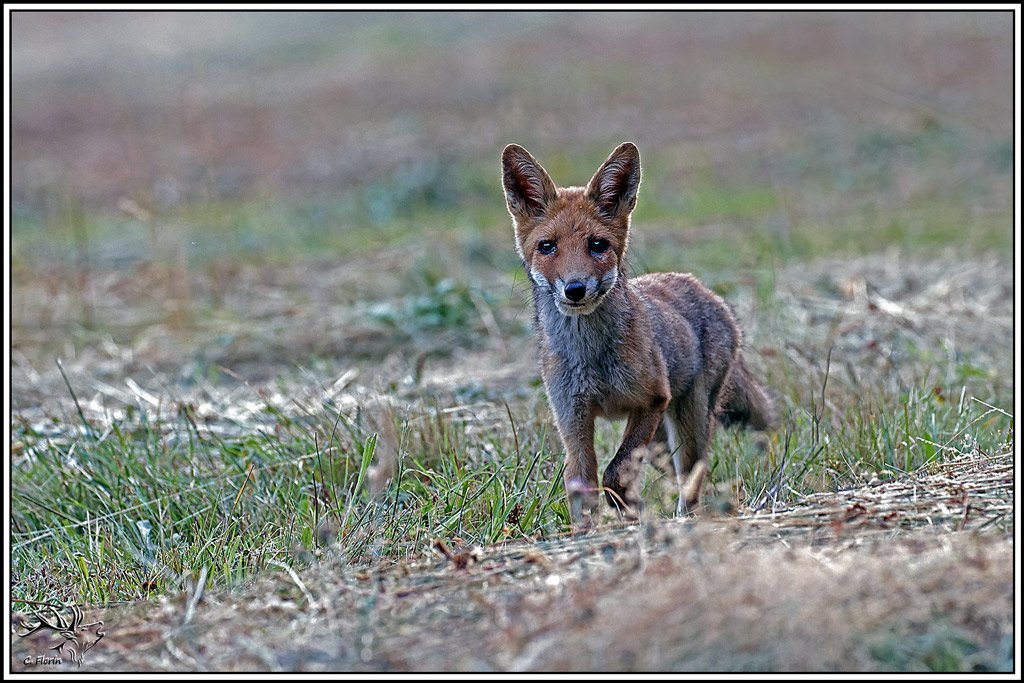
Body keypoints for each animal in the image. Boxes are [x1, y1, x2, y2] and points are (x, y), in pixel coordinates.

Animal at [502, 141, 774, 532]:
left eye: (597, 245)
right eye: (547, 246)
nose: (574, 289)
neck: (591, 358)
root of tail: (701, 287)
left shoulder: (652, 400)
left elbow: (615, 473)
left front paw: (629, 511)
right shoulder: (572, 417)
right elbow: (581, 482)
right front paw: (592, 530)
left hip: (687, 421)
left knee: (693, 474)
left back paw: (687, 518)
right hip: (661, 442)